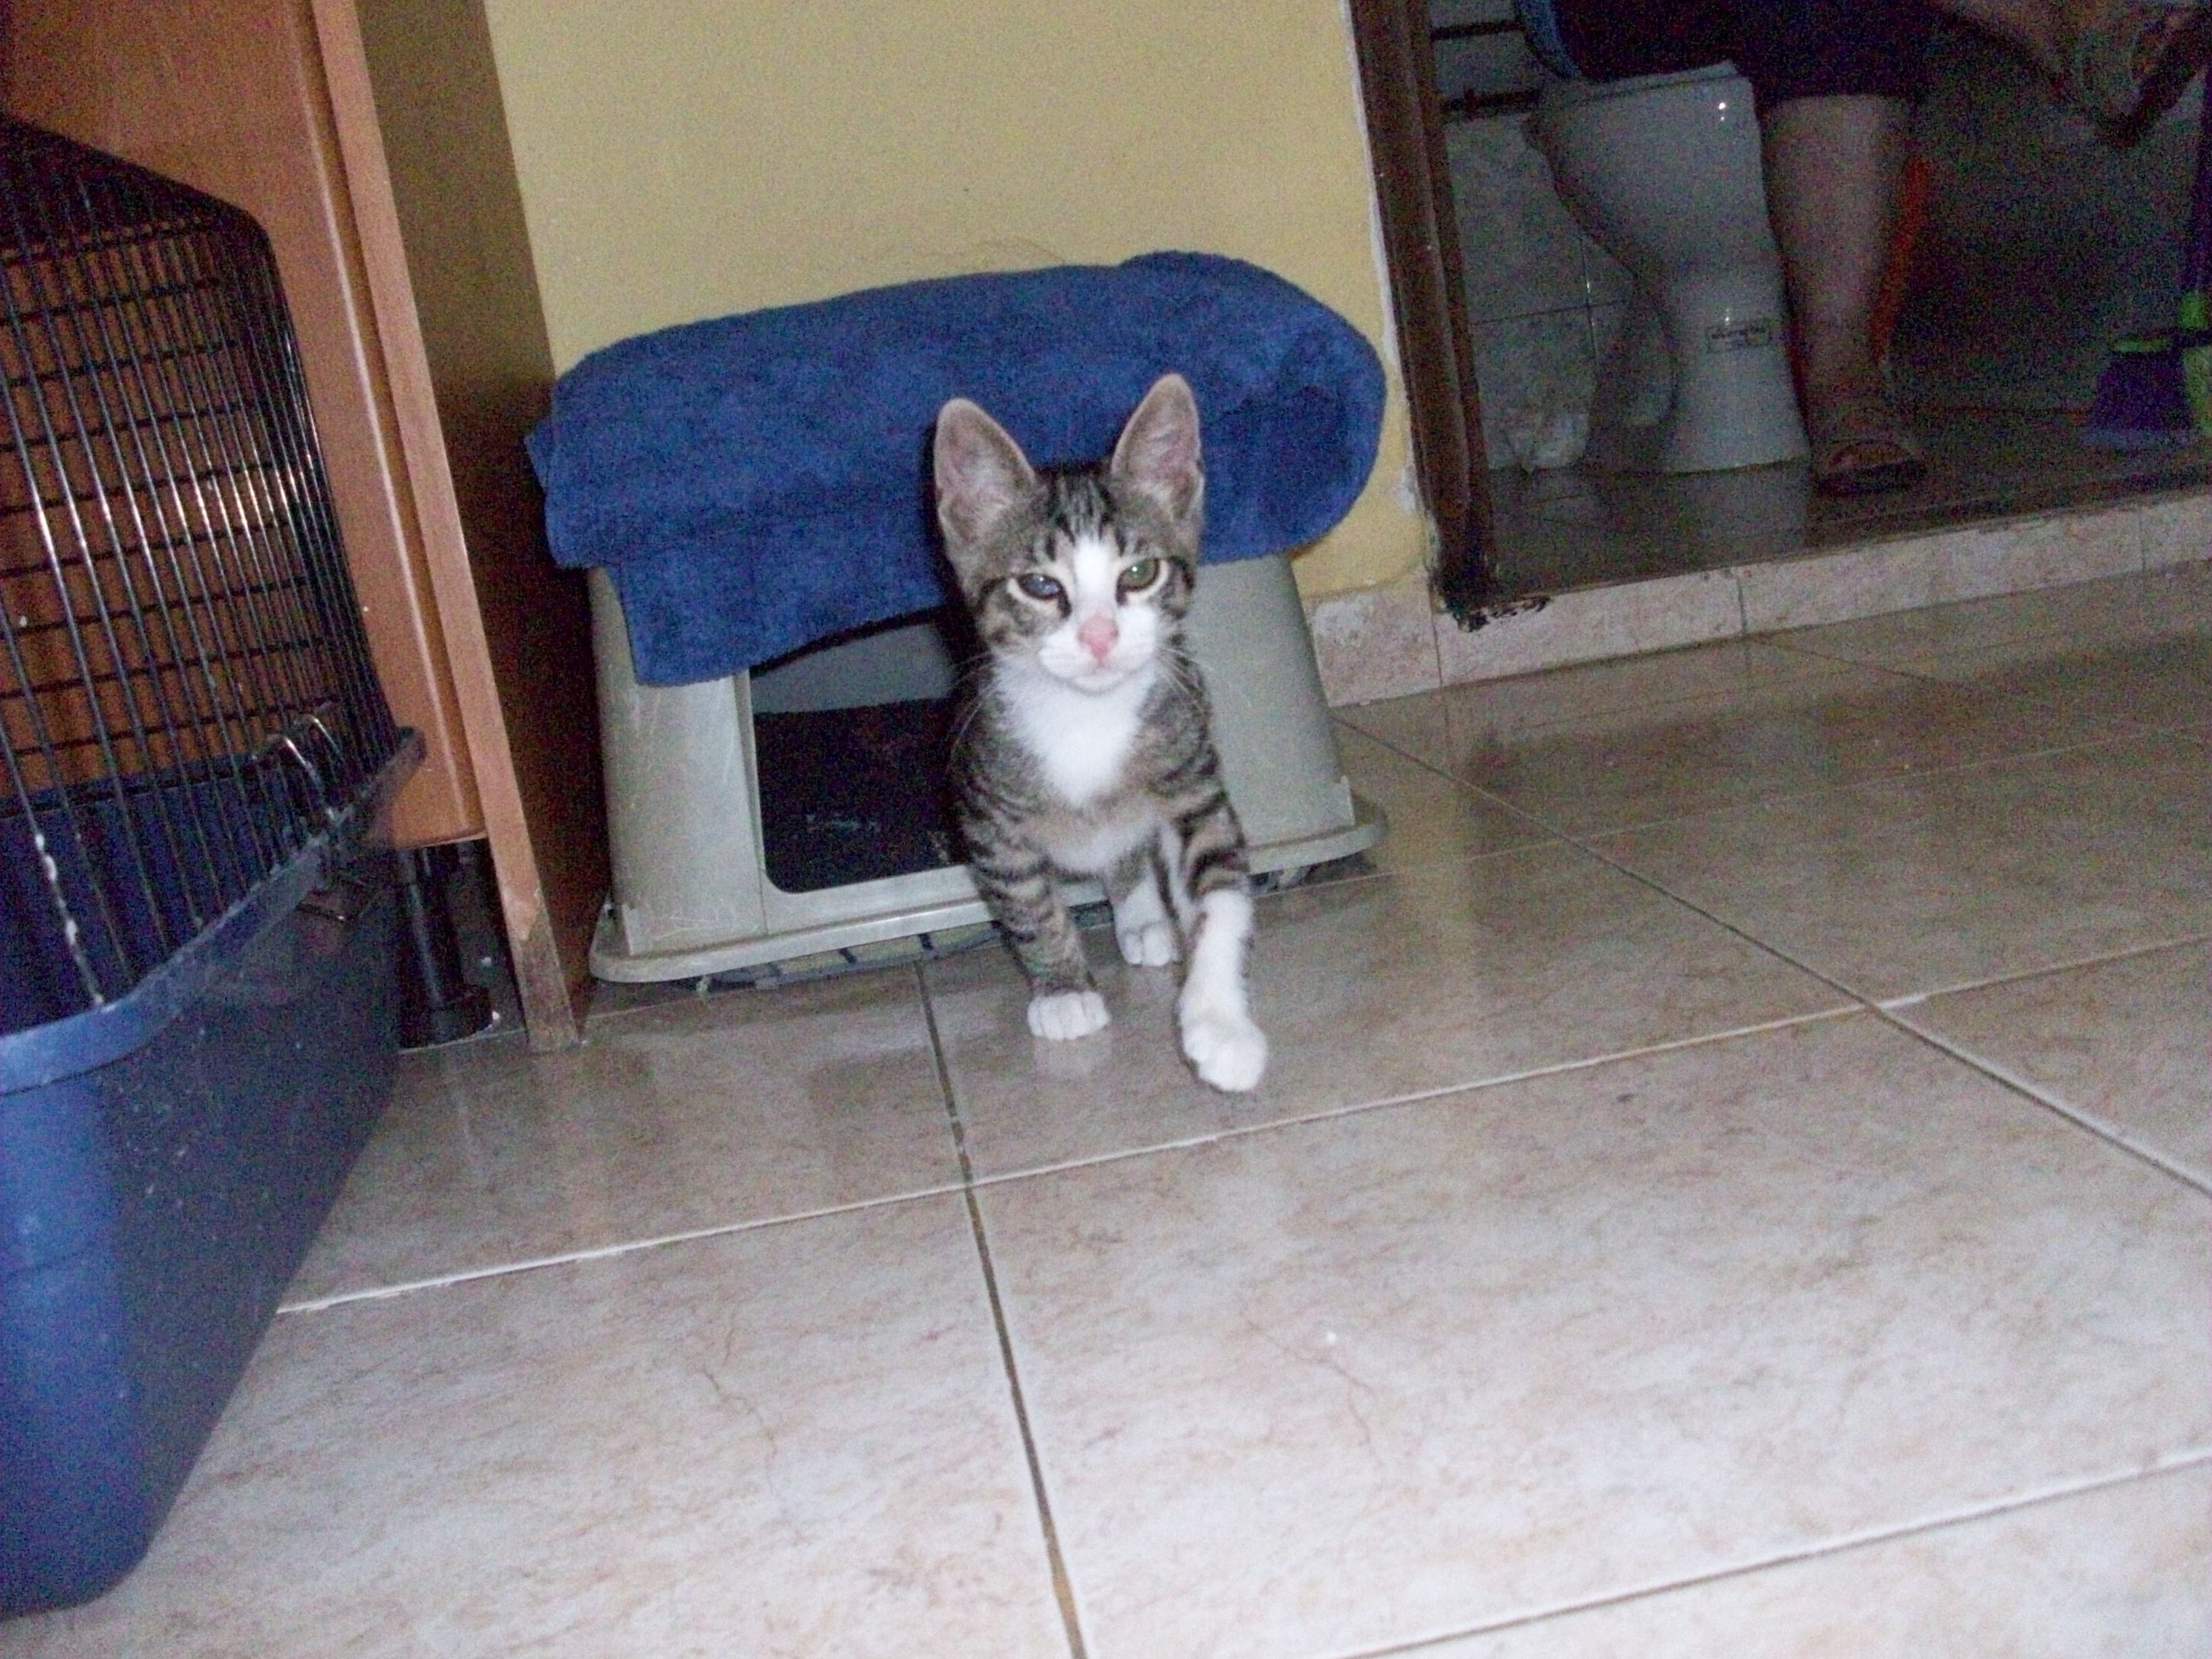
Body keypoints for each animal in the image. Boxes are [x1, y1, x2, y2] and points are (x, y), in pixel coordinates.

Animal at [932, 372, 1267, 1093]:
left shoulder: (1191, 776)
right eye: (1038, 585)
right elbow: (1027, 900)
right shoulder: (986, 813)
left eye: (1138, 574)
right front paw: (1062, 988)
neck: (1086, 714)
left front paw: (1220, 1023)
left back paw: (1142, 918)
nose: (1099, 636)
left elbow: (1221, 892)